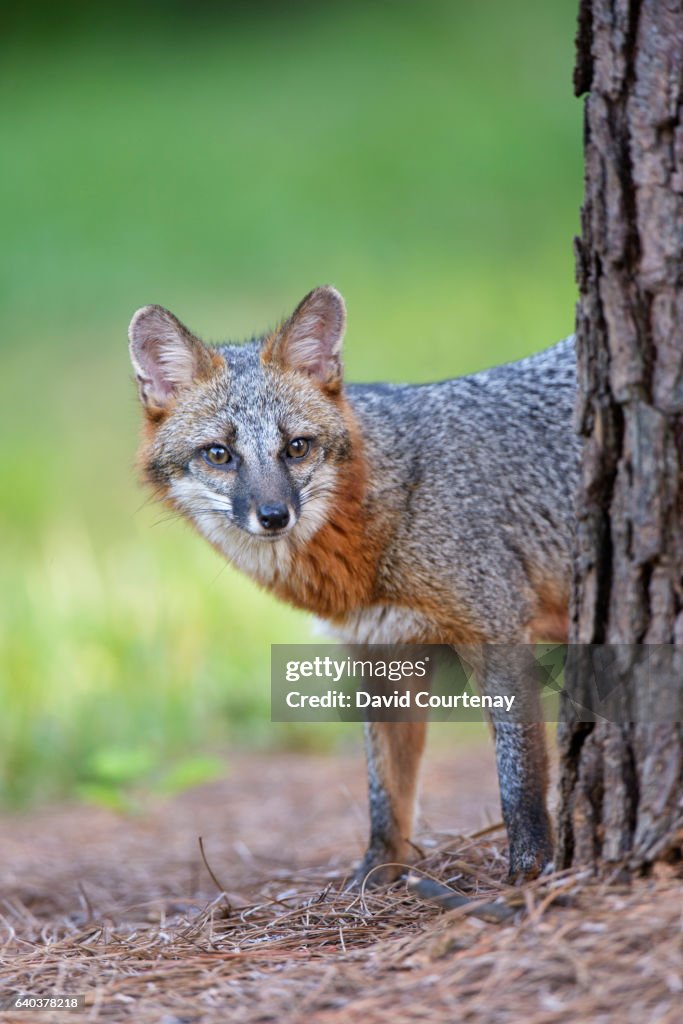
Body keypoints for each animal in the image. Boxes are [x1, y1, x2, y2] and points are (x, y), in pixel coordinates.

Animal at [126, 284, 577, 884]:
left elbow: (518, 768)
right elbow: (386, 793)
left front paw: (529, 866)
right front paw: (376, 876)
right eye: (219, 455)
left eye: (296, 447)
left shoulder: (495, 632)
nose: (274, 516)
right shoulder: (382, 652)